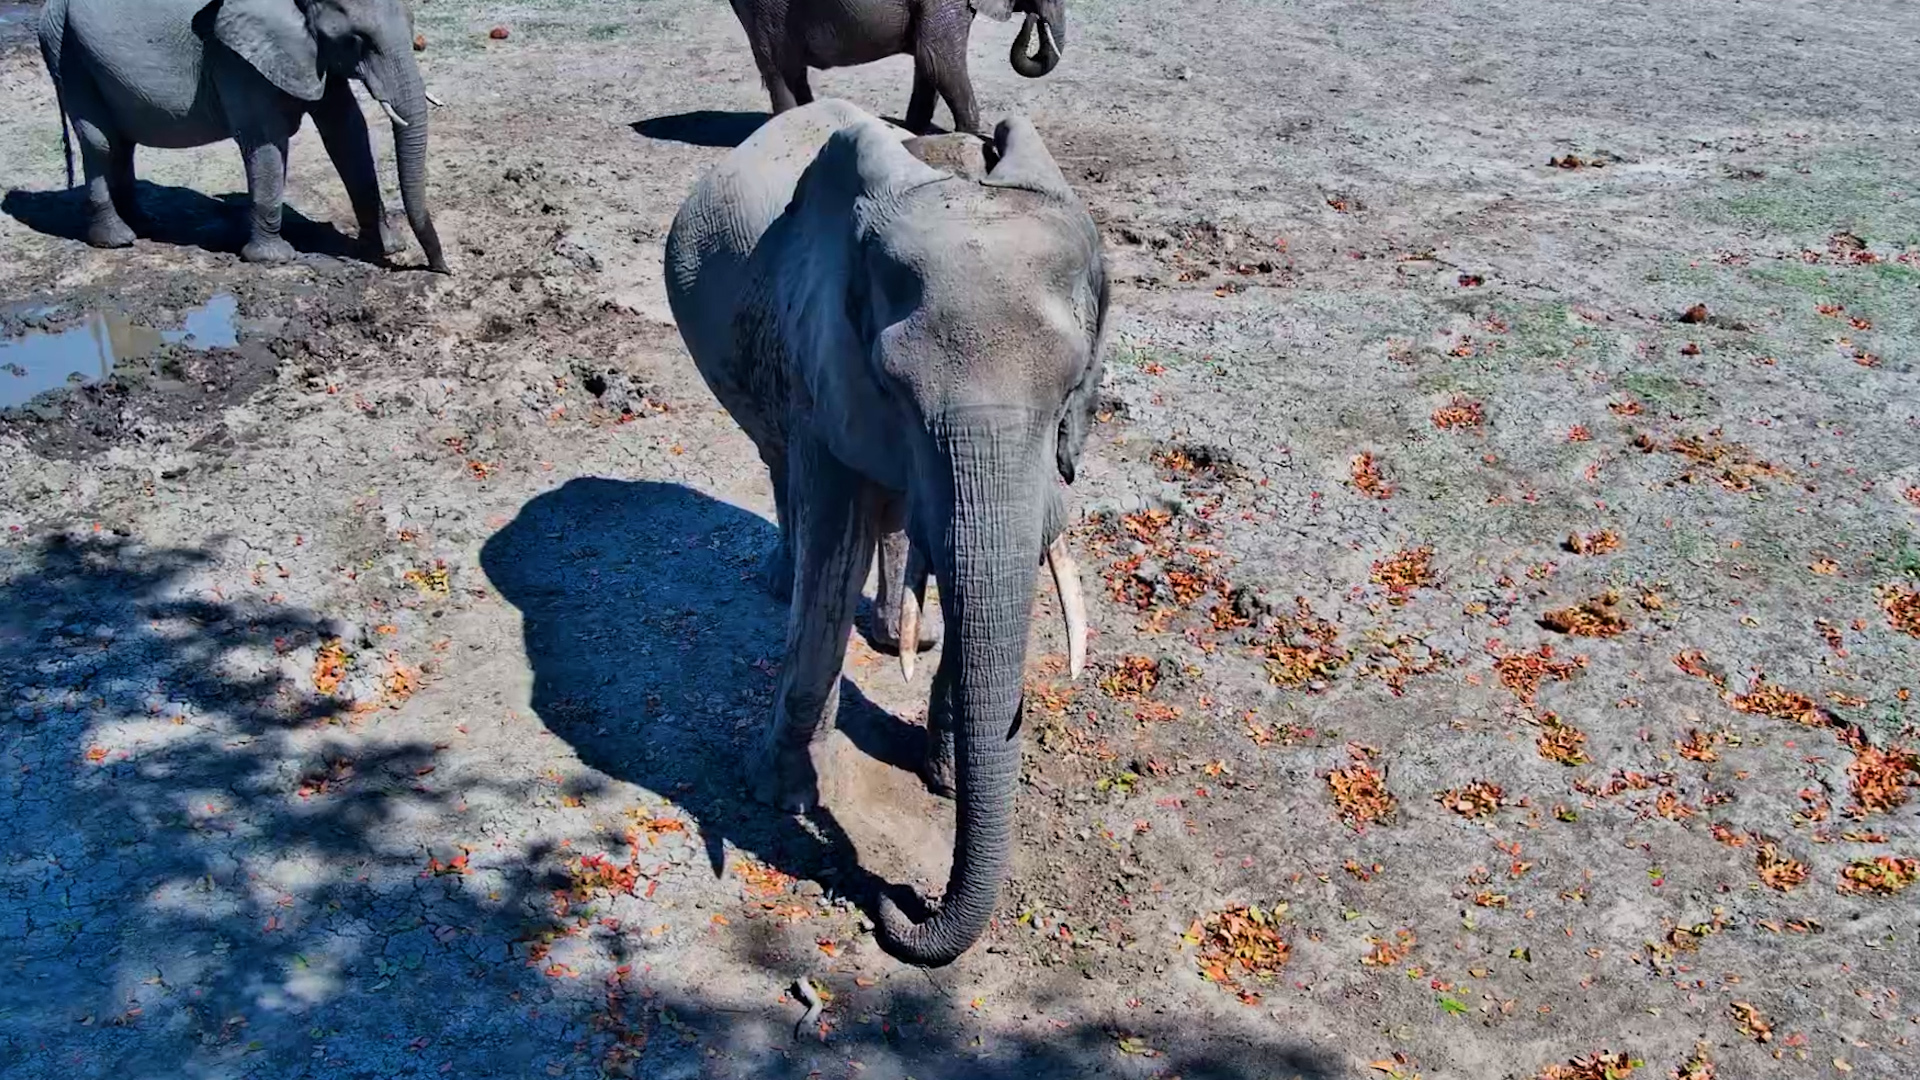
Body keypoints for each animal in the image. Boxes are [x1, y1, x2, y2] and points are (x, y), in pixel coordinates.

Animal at [36, 0, 447, 271]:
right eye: (357, 39)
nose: (439, 269)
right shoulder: (238, 58)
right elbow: (266, 141)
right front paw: (274, 259)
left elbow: (346, 130)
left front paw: (387, 247)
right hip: (66, 51)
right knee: (101, 141)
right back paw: (118, 239)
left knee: (122, 142)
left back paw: (144, 223)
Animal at [664, 99, 1105, 966]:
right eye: (894, 386)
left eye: (1075, 385)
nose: (900, 905)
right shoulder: (822, 362)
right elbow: (833, 549)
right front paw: (781, 795)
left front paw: (944, 774)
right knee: (781, 466)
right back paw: (784, 582)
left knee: (896, 510)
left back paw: (908, 630)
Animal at [724, 0, 1068, 135]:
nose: (1034, 18)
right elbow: (939, 62)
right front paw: (968, 138)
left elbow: (928, 64)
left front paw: (912, 133)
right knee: (780, 70)